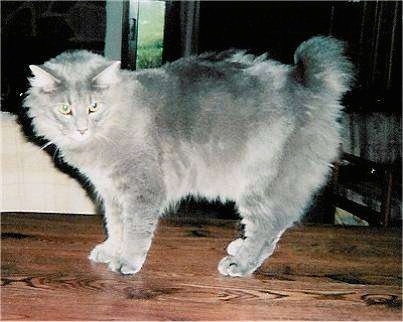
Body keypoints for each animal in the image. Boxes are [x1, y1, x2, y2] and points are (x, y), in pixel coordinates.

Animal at [24, 35, 354, 276]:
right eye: (65, 109)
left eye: (93, 107)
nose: (81, 129)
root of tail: (310, 88)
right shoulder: (111, 192)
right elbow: (116, 226)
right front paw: (110, 250)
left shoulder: (142, 190)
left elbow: (135, 231)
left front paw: (127, 261)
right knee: (275, 225)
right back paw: (239, 248)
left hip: (260, 183)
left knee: (267, 228)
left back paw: (240, 264)